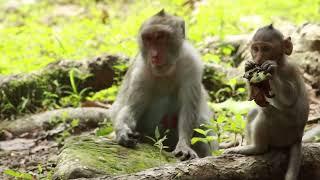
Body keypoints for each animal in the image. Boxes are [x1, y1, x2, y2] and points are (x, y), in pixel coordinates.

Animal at [109, 10, 216, 160]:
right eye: (148, 39)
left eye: (160, 37)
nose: (154, 55)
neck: (167, 71)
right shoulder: (141, 72)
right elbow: (130, 108)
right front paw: (123, 131)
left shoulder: (192, 63)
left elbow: (189, 110)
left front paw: (184, 145)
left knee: (201, 121)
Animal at [225, 24, 310, 180]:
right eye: (255, 48)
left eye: (265, 49)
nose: (258, 57)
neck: (281, 62)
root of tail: (298, 137)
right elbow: (253, 94)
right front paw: (249, 67)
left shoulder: (290, 70)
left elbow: (290, 98)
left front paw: (271, 70)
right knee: (255, 110)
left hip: (283, 133)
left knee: (266, 112)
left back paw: (257, 148)